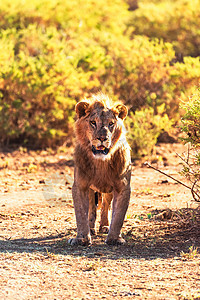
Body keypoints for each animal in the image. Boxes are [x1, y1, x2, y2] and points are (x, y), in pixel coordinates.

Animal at [68, 94, 132, 246]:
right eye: (93, 122)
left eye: (111, 124)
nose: (102, 138)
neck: (101, 162)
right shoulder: (80, 185)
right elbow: (81, 213)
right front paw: (82, 238)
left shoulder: (123, 186)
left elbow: (118, 215)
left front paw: (114, 238)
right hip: (92, 190)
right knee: (92, 207)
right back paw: (92, 229)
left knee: (105, 206)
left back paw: (104, 226)